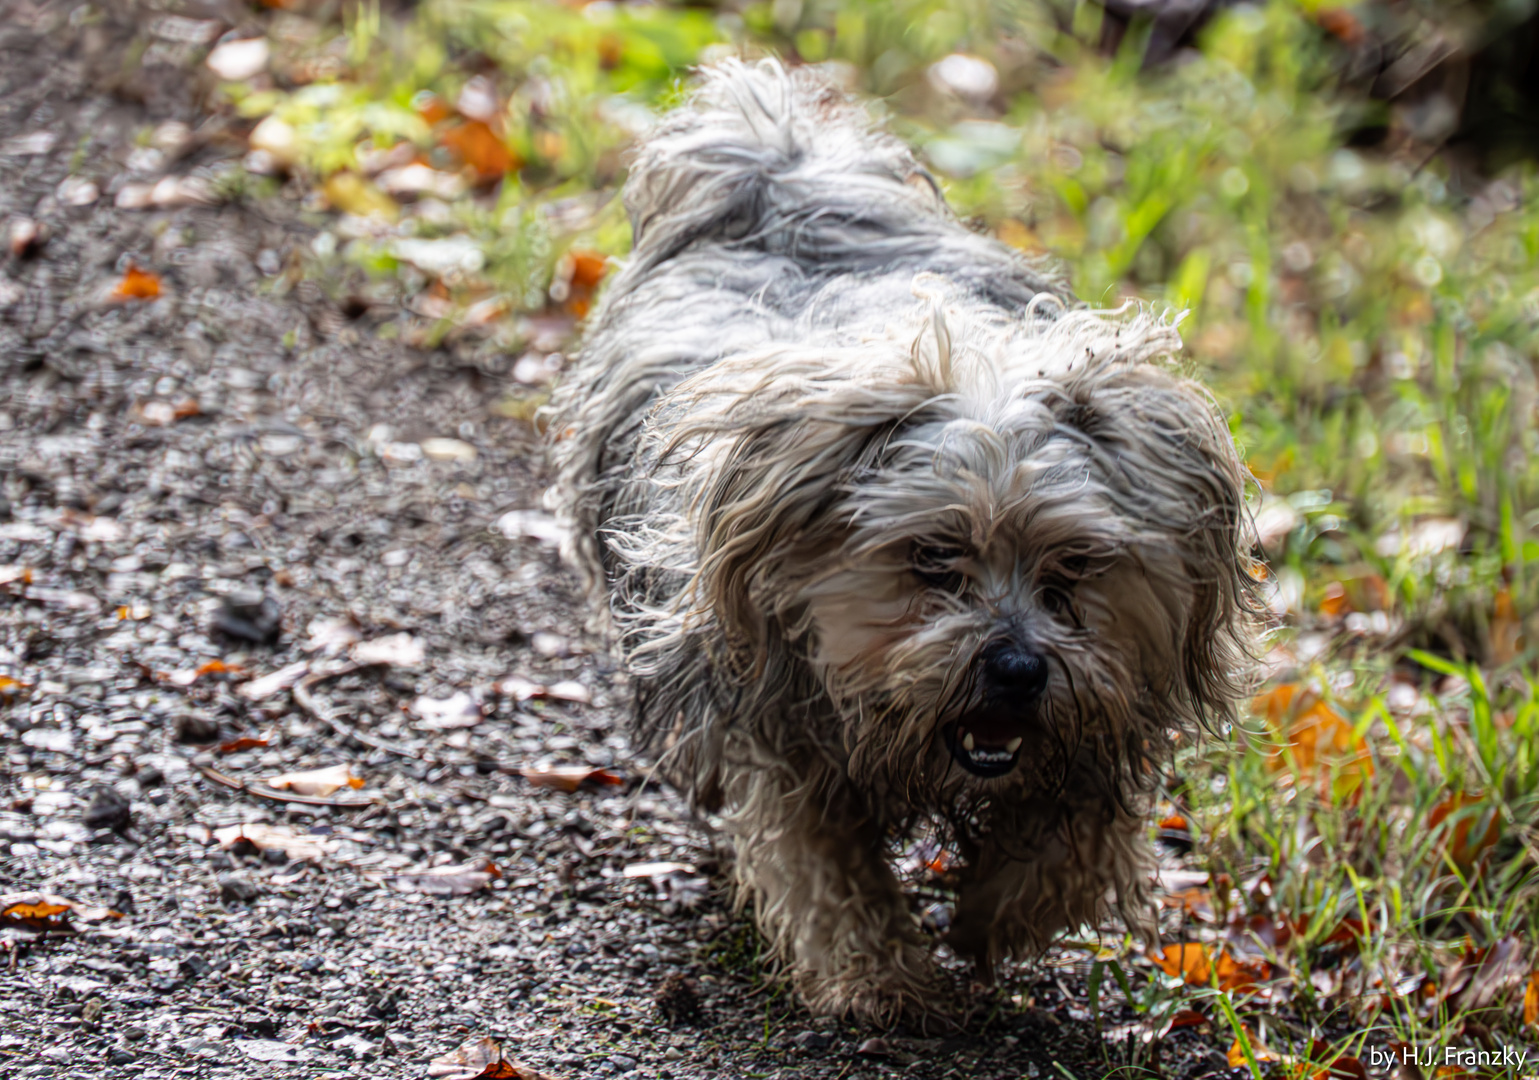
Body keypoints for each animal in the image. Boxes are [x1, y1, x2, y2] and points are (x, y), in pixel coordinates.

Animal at [547, 61, 1255, 1033]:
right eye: (931, 555)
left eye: (1072, 564)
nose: (1018, 670)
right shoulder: (775, 724)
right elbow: (820, 863)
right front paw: (877, 976)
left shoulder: (1104, 705)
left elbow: (1075, 838)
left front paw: (996, 914)